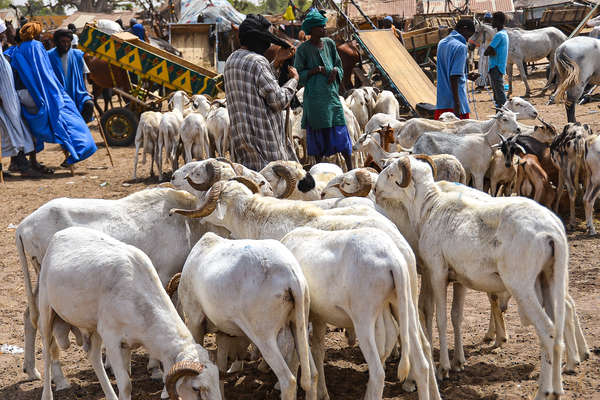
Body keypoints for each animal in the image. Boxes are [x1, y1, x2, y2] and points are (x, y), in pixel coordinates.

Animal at [37, 227, 221, 398]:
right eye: (196, 388)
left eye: (217, 381)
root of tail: (61, 233)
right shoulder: (112, 339)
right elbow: (126, 385)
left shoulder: (126, 342)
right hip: (45, 308)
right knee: (47, 351)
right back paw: (47, 395)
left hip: (94, 325)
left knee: (93, 355)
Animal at [168, 233, 314, 400]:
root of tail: (291, 275)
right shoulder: (224, 333)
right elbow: (220, 364)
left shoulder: (194, 319)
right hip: (299, 324)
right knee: (312, 376)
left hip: (264, 337)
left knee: (288, 381)